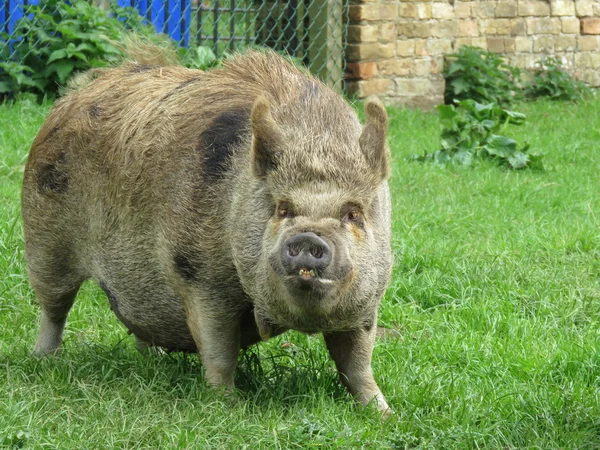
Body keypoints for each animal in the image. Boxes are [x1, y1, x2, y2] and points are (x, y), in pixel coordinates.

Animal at [21, 47, 394, 414]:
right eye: (282, 208)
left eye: (353, 213)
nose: (308, 236)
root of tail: (73, 96)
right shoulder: (200, 277)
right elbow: (219, 348)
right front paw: (227, 404)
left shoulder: (369, 301)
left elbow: (357, 360)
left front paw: (381, 412)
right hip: (43, 237)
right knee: (54, 307)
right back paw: (43, 359)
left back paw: (153, 360)